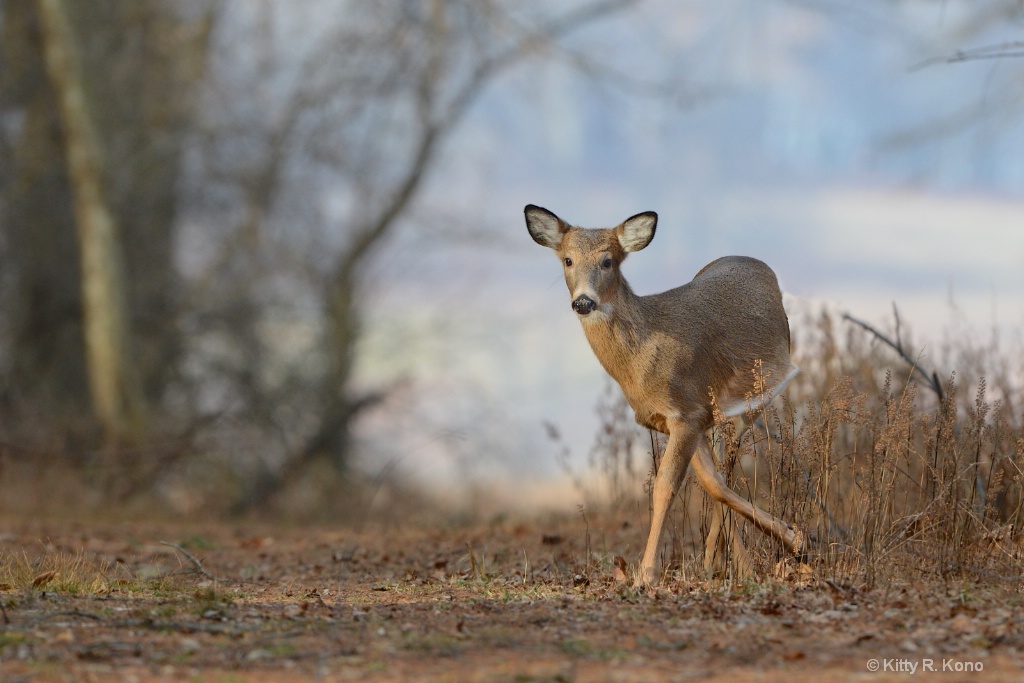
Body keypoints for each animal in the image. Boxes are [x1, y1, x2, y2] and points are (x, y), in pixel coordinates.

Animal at [524, 205, 802, 585]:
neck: (642, 358)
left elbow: (666, 487)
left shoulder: (687, 414)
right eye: (568, 259)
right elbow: (710, 484)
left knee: (731, 461)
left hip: (756, 396)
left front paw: (647, 573)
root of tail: (757, 264)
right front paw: (770, 547)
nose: (583, 301)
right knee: (723, 473)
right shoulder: (682, 419)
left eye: (608, 261)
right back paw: (720, 561)